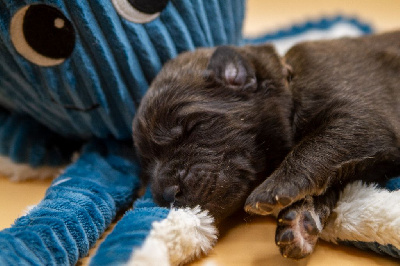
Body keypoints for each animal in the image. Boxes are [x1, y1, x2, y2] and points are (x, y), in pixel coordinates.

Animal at [133, 30, 400, 258]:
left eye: (191, 129)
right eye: (146, 164)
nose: (166, 195)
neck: (290, 80)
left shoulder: (358, 117)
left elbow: (315, 147)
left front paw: (274, 188)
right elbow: (330, 181)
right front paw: (300, 222)